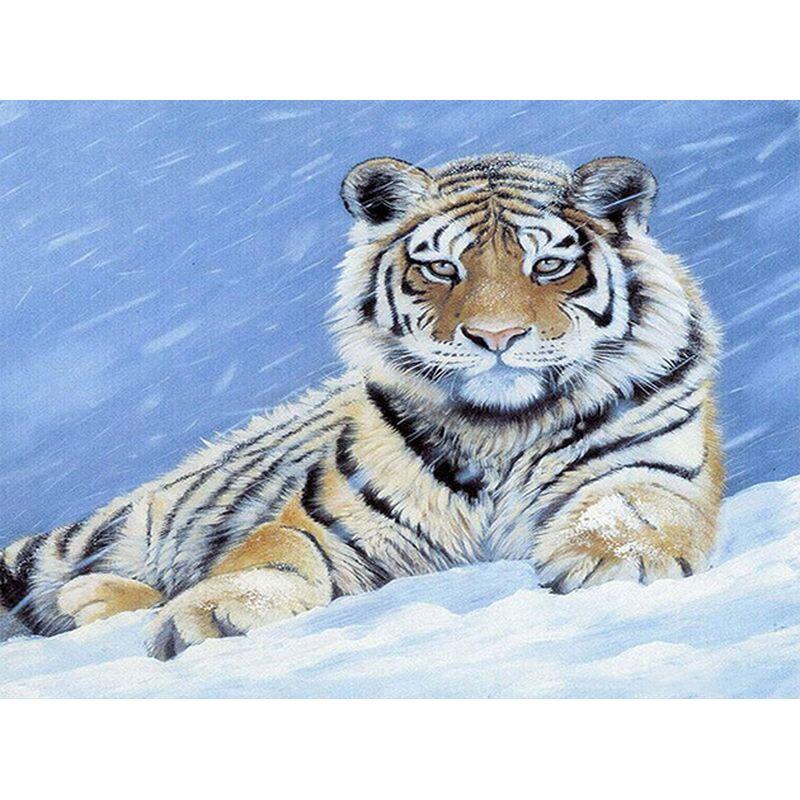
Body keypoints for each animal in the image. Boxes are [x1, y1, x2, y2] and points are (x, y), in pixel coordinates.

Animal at [0, 152, 723, 661]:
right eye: (441, 269)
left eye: (548, 265)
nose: (495, 337)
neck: (502, 428)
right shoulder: (332, 520)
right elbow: (269, 552)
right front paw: (215, 615)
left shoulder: (652, 468)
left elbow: (626, 509)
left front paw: (615, 563)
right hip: (89, 536)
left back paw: (90, 600)